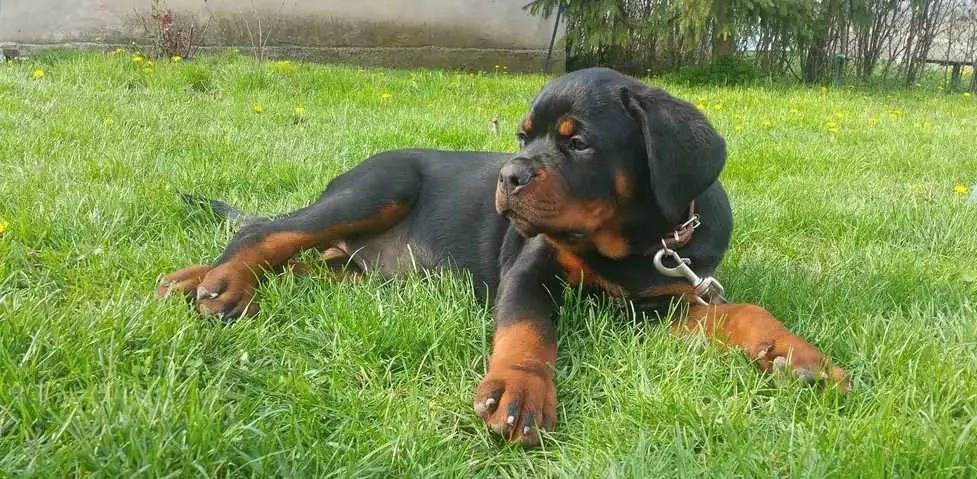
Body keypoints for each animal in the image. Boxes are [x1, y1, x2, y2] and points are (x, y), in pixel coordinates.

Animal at [158, 66, 848, 446]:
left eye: (578, 143)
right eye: (523, 136)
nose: (508, 176)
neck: (635, 245)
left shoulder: (666, 298)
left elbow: (740, 310)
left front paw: (794, 354)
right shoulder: (529, 267)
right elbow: (527, 328)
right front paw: (520, 390)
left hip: (361, 275)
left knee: (310, 265)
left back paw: (191, 277)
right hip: (378, 188)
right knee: (269, 232)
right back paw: (221, 283)